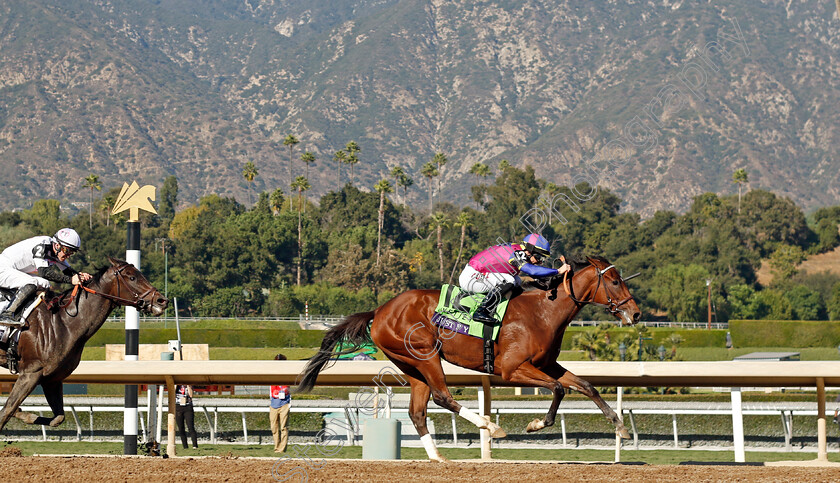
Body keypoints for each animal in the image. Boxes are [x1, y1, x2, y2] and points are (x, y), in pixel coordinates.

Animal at [0, 260, 169, 432]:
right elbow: (7, 410)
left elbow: (58, 418)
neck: (63, 321)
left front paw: (24, 414)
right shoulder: (31, 372)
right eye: (132, 277)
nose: (162, 301)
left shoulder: (52, 378)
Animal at [298, 258, 640, 462]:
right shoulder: (513, 369)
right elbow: (559, 389)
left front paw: (621, 428)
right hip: (425, 355)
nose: (635, 313)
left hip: (411, 366)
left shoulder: (546, 364)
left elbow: (585, 386)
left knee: (418, 411)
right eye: (614, 281)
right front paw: (535, 424)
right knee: (442, 396)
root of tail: (380, 310)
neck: (542, 312)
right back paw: (490, 426)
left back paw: (437, 456)